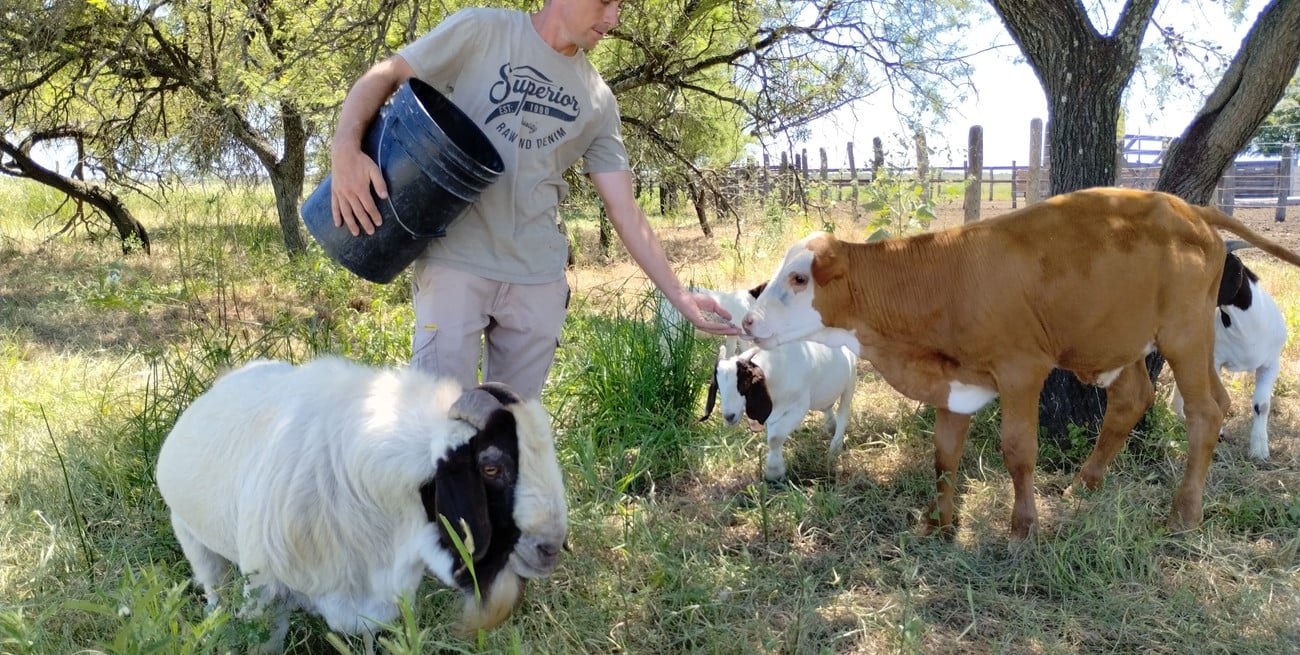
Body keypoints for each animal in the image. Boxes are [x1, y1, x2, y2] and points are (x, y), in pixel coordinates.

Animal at [154, 357, 568, 653]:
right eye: (491, 466)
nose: (549, 548)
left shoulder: (382, 601)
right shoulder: (267, 594)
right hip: (191, 536)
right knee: (215, 591)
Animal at [701, 342, 858, 480]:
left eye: (745, 383)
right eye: (718, 386)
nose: (729, 416)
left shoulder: (798, 407)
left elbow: (775, 438)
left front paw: (774, 472)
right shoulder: (772, 412)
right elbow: (773, 436)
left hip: (850, 380)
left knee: (843, 412)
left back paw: (835, 448)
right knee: (826, 405)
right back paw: (831, 426)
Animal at [1172, 247, 1287, 460]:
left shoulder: (1271, 364)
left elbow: (1262, 405)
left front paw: (1259, 449)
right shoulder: (1214, 360)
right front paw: (1216, 433)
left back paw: (1177, 413)